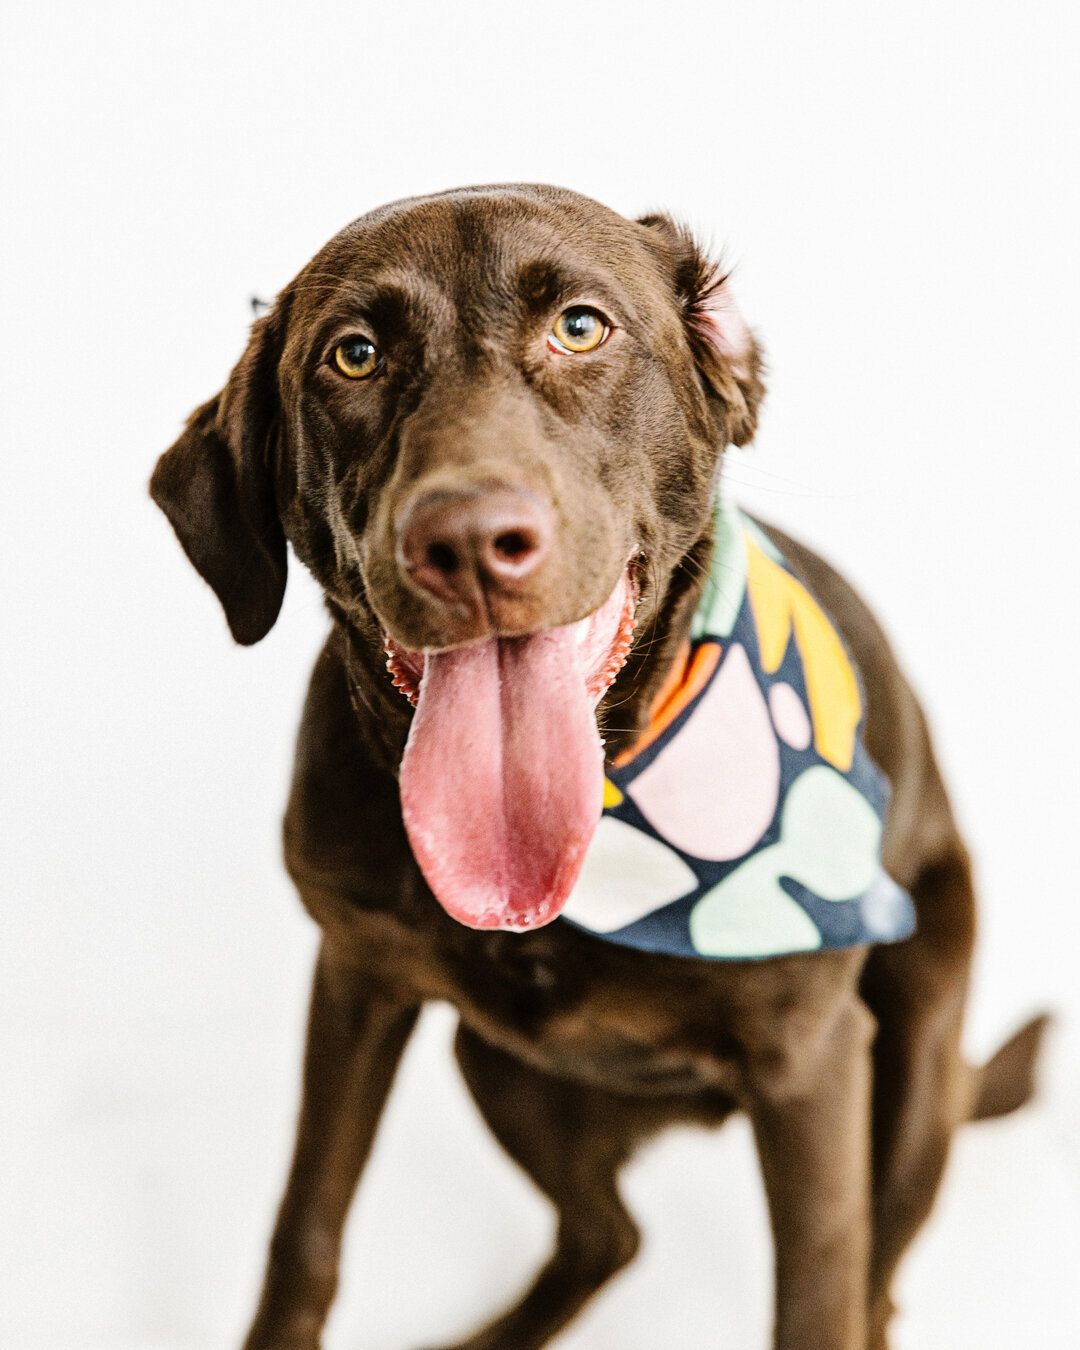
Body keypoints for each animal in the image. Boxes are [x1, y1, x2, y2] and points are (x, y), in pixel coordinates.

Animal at [151, 182, 1047, 1350]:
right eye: (354, 355)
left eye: (582, 327)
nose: (468, 542)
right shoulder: (355, 981)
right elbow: (306, 1229)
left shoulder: (812, 1068)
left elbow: (820, 1288)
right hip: (499, 1064)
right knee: (605, 1236)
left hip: (912, 1068)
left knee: (873, 1278)